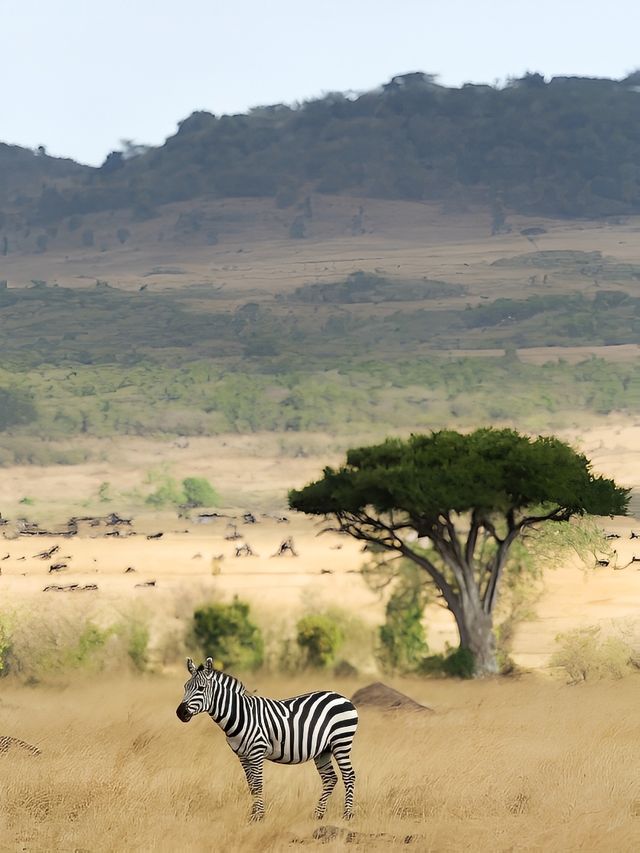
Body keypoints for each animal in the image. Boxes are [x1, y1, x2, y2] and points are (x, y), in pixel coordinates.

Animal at [175, 660, 358, 820]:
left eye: (201, 688)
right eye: (185, 687)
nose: (180, 713)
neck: (240, 714)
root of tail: (341, 697)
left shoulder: (257, 751)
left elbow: (257, 784)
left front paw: (259, 817)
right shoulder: (242, 755)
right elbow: (251, 786)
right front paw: (253, 816)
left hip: (341, 742)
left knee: (348, 775)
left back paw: (347, 815)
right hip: (323, 750)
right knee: (330, 778)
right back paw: (318, 815)